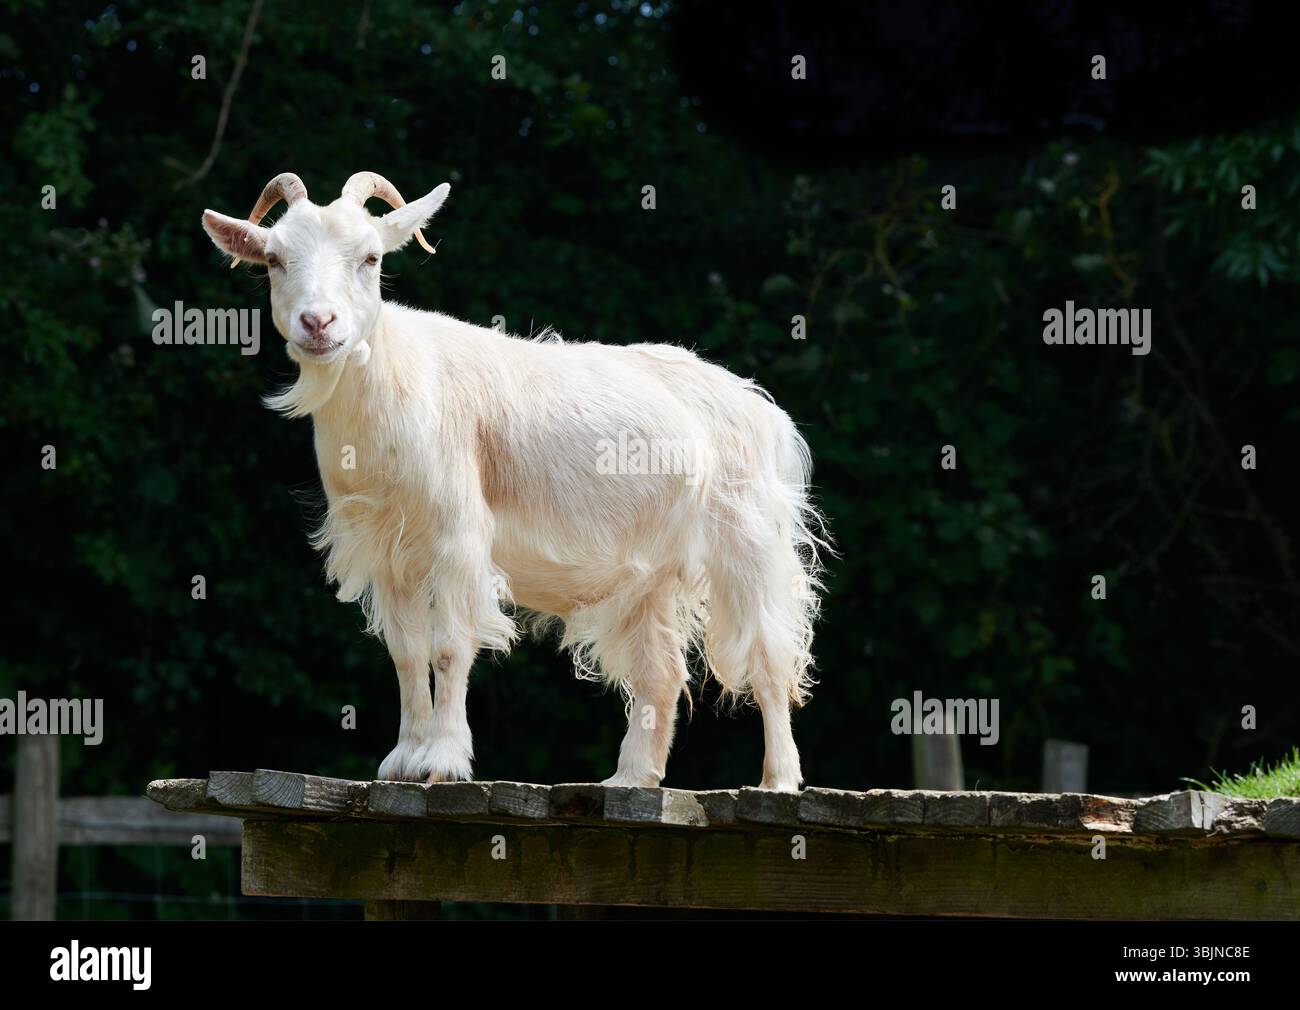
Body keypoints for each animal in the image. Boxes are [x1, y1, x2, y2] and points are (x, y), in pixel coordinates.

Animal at [202, 172, 827, 790]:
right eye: (274, 259)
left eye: (371, 257)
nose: (318, 323)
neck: (396, 381)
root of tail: (761, 409)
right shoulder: (386, 552)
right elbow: (406, 653)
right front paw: (402, 760)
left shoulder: (458, 539)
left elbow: (450, 647)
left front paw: (442, 761)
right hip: (647, 574)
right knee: (663, 671)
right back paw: (629, 779)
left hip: (746, 542)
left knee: (769, 657)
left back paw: (777, 781)